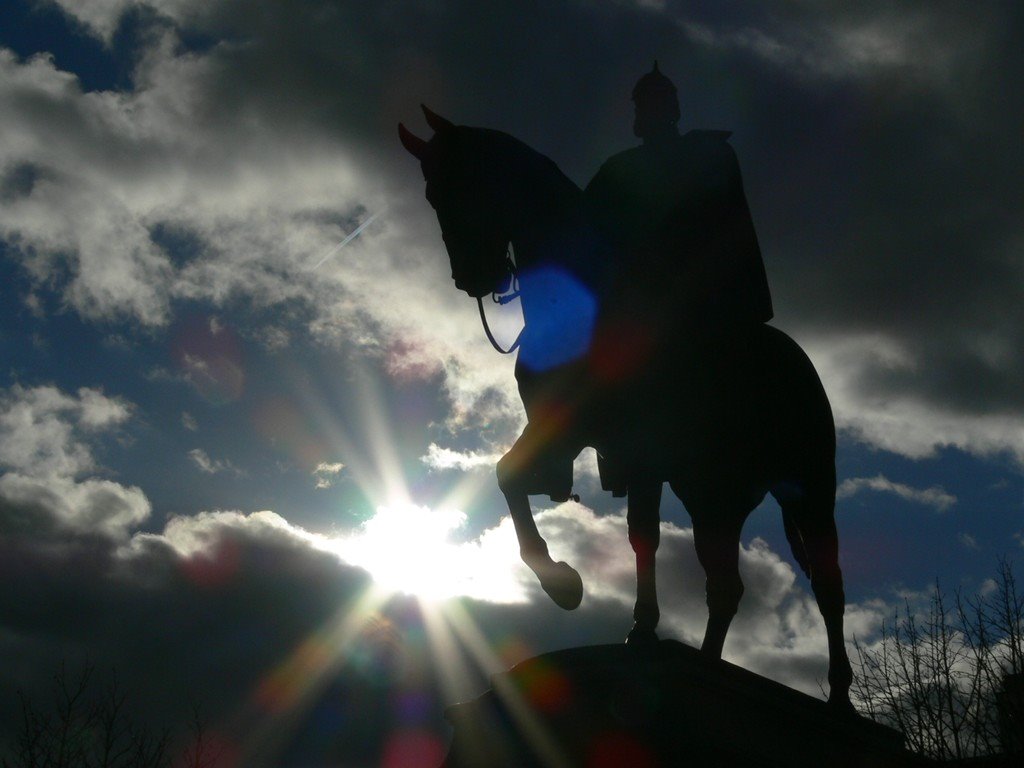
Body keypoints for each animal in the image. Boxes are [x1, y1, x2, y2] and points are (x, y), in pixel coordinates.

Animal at [399, 108, 856, 708]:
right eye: (432, 194)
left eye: (462, 183)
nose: (474, 278)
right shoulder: (564, 431)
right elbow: (510, 476)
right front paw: (565, 583)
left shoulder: (632, 448)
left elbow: (638, 533)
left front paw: (620, 615)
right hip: (712, 495)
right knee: (725, 585)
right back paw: (708, 664)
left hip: (807, 486)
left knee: (827, 584)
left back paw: (840, 697)